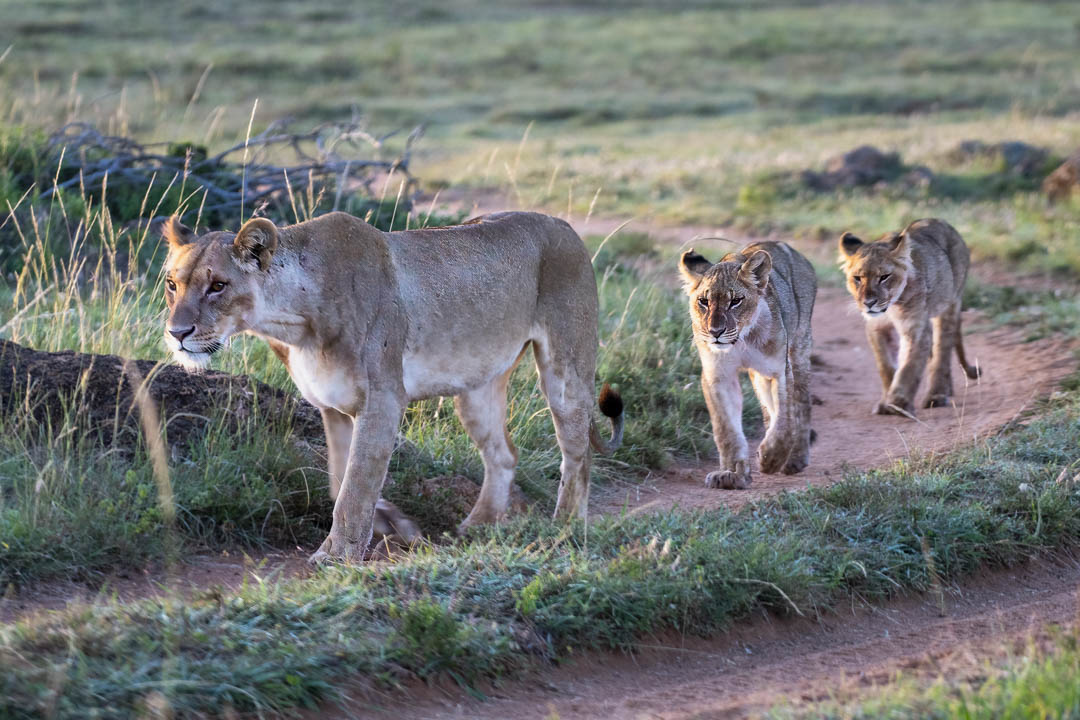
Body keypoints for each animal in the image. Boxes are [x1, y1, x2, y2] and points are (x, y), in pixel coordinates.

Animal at [162, 211, 624, 563]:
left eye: (218, 286)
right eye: (172, 284)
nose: (177, 333)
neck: (293, 324)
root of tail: (562, 224)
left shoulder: (383, 400)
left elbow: (355, 486)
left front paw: (337, 555)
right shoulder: (332, 408)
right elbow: (341, 481)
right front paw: (389, 523)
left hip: (565, 368)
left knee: (577, 451)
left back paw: (564, 528)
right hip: (476, 389)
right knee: (504, 454)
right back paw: (476, 527)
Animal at [679, 241, 816, 490]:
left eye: (735, 301)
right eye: (703, 302)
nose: (715, 332)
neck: (741, 341)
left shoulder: (778, 371)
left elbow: (784, 419)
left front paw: (772, 458)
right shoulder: (719, 377)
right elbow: (726, 430)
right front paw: (732, 474)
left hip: (800, 350)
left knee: (801, 405)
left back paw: (795, 460)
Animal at [838, 218, 980, 417]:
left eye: (884, 277)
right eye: (857, 278)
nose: (869, 302)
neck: (890, 308)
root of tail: (942, 222)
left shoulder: (915, 328)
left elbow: (909, 366)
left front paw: (899, 403)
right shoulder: (876, 327)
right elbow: (886, 366)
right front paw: (885, 402)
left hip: (950, 304)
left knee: (942, 352)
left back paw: (937, 395)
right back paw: (947, 389)